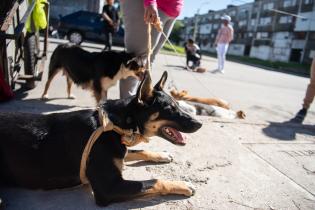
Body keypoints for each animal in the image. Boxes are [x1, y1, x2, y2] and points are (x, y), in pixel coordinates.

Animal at [0, 71, 202, 206]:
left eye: (178, 105)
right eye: (170, 109)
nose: (200, 124)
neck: (117, 124)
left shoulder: (122, 150)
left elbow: (138, 150)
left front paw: (162, 154)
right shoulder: (109, 187)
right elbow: (154, 181)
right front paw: (182, 184)